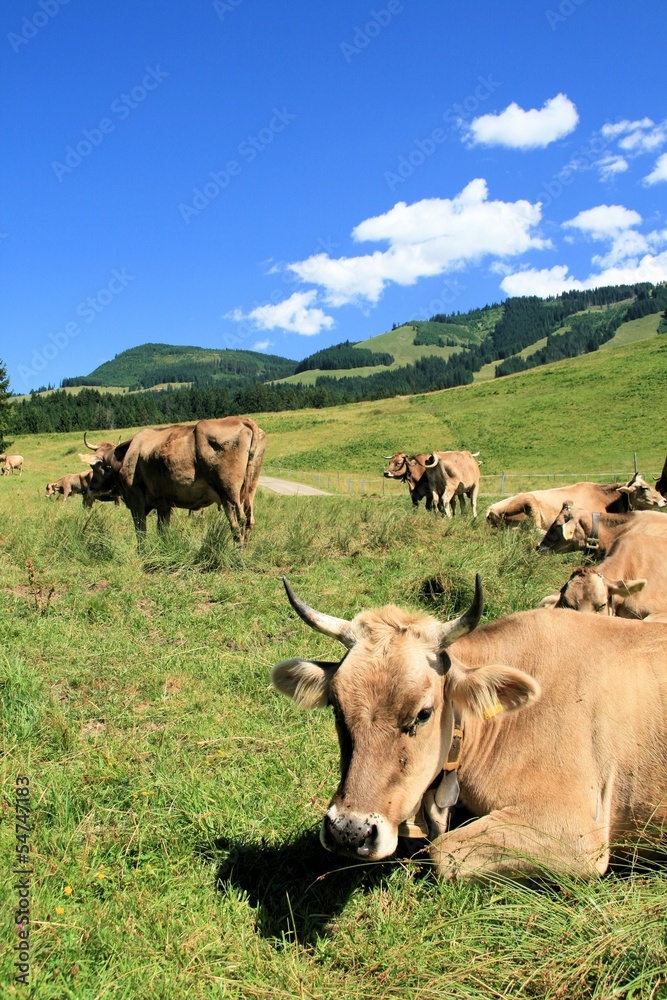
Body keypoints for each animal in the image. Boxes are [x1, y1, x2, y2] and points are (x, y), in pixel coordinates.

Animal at [82, 417, 266, 544]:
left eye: (95, 466)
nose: (90, 487)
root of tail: (242, 420)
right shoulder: (164, 503)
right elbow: (162, 529)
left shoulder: (136, 499)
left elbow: (140, 530)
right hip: (249, 489)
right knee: (249, 519)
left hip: (229, 491)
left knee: (239, 520)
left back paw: (238, 551)